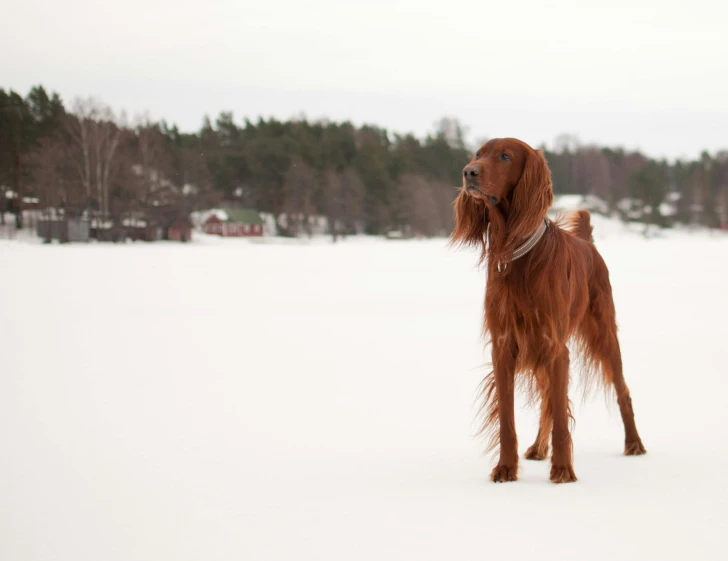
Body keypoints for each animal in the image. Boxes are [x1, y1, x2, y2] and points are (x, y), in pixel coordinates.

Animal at [452, 139, 644, 482]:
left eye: (504, 156)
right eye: (478, 154)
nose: (468, 172)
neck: (515, 253)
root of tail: (588, 243)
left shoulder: (555, 346)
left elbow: (561, 418)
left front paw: (563, 469)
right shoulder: (505, 346)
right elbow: (509, 419)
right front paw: (505, 468)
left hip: (604, 336)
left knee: (622, 390)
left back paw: (634, 444)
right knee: (546, 402)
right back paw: (539, 448)